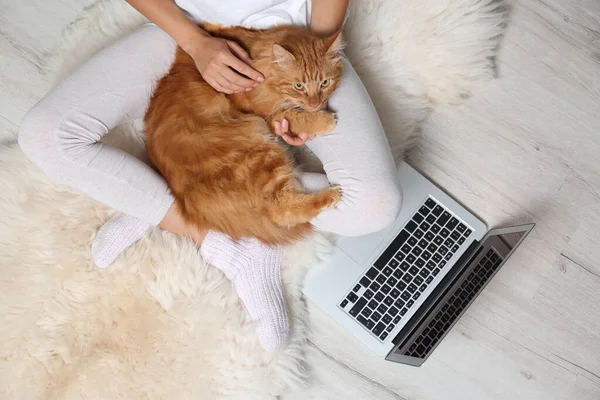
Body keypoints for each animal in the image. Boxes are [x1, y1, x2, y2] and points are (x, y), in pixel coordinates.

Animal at [143, 25, 344, 245]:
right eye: (298, 86)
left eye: (325, 83)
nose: (315, 104)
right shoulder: (269, 116)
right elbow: (295, 115)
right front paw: (325, 119)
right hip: (260, 149)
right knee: (280, 210)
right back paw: (330, 195)